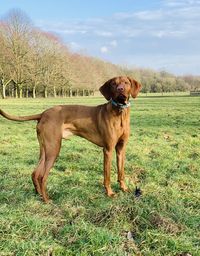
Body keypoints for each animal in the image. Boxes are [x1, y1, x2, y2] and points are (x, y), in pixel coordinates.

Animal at [0, 76, 141, 202]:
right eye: (113, 84)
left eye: (126, 82)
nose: (120, 89)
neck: (119, 113)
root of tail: (43, 113)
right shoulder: (108, 149)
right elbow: (107, 175)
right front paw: (110, 193)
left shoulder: (121, 148)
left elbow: (121, 172)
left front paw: (124, 189)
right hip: (54, 148)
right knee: (43, 176)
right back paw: (47, 200)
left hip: (45, 149)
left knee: (35, 173)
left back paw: (39, 195)